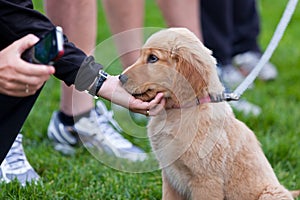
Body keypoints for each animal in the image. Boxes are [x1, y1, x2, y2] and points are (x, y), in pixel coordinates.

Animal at [119, 27, 298, 199]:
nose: (120, 78)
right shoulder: (170, 177)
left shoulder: (206, 180)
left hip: (270, 193)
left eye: (153, 58)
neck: (180, 111)